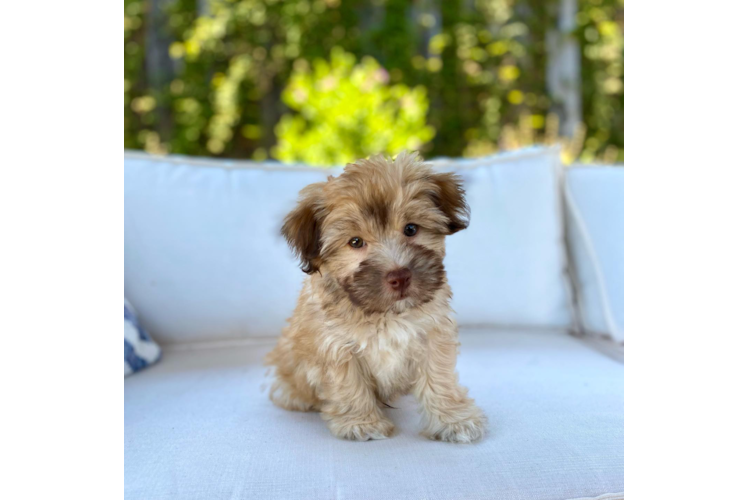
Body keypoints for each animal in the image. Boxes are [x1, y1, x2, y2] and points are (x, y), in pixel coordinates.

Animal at [266, 152, 488, 442]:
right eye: (356, 242)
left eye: (411, 229)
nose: (400, 277)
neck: (385, 313)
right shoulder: (336, 346)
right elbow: (349, 384)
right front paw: (362, 423)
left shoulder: (433, 333)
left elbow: (439, 378)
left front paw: (453, 420)